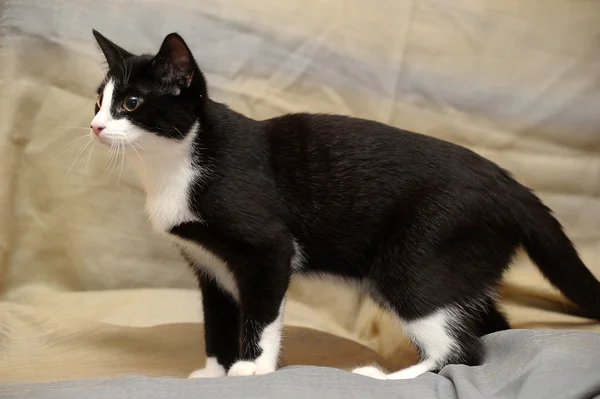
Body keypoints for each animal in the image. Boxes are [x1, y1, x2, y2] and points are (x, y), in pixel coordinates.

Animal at [89, 29, 600, 380]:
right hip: (463, 263)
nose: (95, 126)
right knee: (489, 326)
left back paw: (388, 378)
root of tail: (511, 185)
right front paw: (215, 373)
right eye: (99, 100)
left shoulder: (269, 247)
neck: (176, 162)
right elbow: (217, 319)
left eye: (131, 103)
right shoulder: (209, 265)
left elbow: (261, 312)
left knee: (464, 349)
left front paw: (252, 369)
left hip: (416, 256)